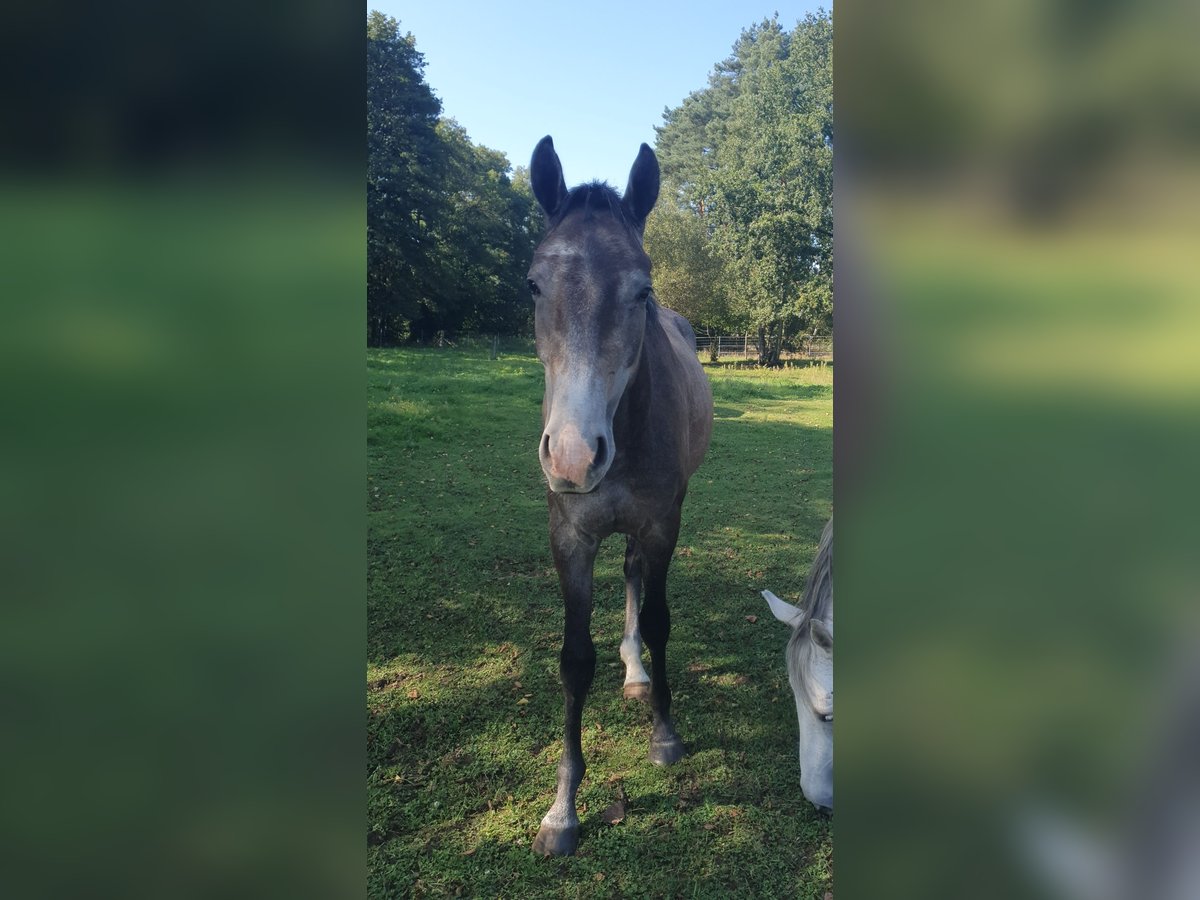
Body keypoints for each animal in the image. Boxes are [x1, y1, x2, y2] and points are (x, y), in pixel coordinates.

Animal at [528, 137, 710, 854]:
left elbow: (657, 620)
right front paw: (562, 810)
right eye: (533, 283)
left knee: (634, 575)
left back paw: (637, 675)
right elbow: (575, 660)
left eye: (643, 289)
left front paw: (665, 735)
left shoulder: (662, 523)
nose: (574, 457)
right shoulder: (569, 537)